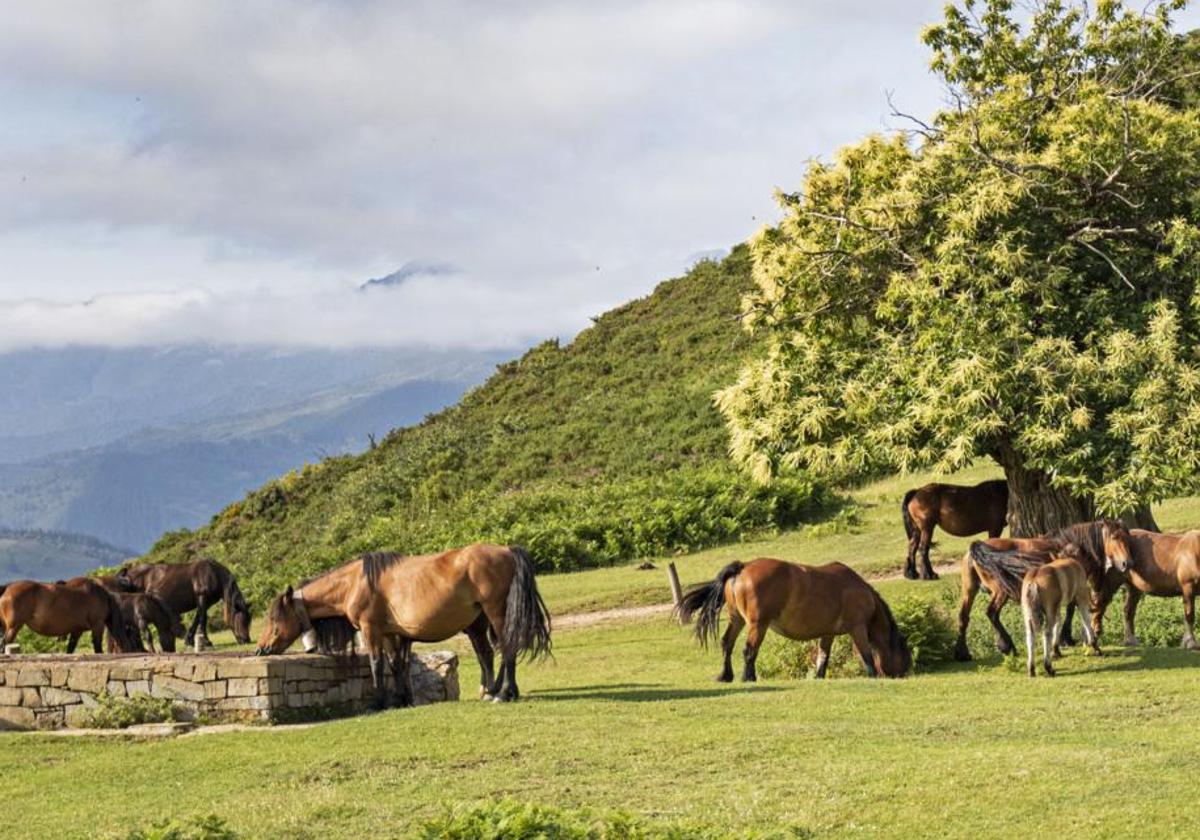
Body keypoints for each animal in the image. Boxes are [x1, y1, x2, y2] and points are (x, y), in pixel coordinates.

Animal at [0, 580, 135, 652]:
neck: (100, 597)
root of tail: (7, 588)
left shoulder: (77, 631)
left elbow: (70, 648)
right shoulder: (97, 625)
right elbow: (97, 648)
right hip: (13, 628)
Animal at [118, 561, 252, 648]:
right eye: (241, 620)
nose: (246, 640)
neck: (212, 573)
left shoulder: (206, 602)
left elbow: (197, 618)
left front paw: (190, 640)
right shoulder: (202, 597)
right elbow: (203, 618)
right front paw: (206, 642)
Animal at [256, 544, 552, 710]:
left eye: (273, 619)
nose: (261, 649)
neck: (354, 583)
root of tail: (507, 551)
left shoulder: (371, 629)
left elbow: (376, 664)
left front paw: (378, 702)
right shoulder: (390, 633)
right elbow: (396, 664)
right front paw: (401, 699)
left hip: (496, 613)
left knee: (507, 647)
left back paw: (503, 693)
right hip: (480, 621)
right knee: (490, 653)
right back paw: (492, 691)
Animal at [676, 561, 907, 681]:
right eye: (905, 653)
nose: (906, 672)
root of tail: (743, 567)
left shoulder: (828, 633)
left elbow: (823, 656)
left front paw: (819, 677)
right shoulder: (857, 628)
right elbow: (866, 654)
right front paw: (873, 675)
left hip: (737, 620)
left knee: (727, 644)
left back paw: (726, 675)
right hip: (758, 624)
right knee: (749, 650)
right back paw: (749, 677)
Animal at [1022, 547, 1099, 681]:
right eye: (1088, 559)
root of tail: (1034, 581)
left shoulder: (1056, 608)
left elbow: (1058, 624)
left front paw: (1056, 650)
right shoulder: (1081, 597)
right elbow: (1086, 619)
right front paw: (1095, 646)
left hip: (1029, 614)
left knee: (1030, 636)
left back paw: (1031, 670)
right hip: (1050, 611)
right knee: (1046, 633)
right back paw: (1049, 668)